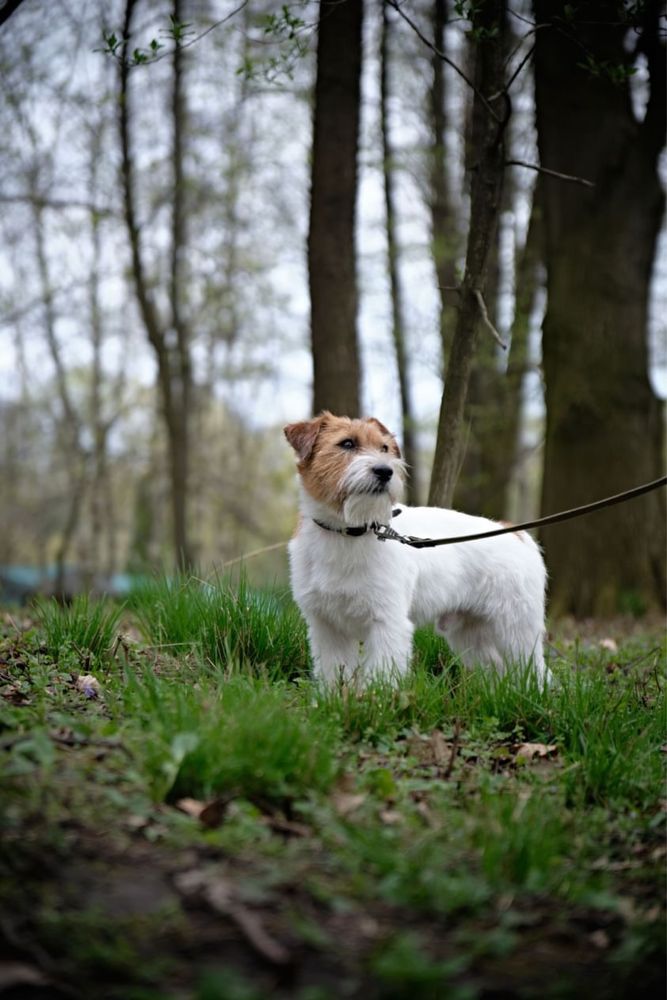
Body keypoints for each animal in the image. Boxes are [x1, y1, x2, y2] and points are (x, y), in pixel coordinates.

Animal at [284, 410, 548, 684]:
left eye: (384, 448)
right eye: (347, 443)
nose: (385, 471)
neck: (348, 532)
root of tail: (515, 532)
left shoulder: (387, 623)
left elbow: (381, 677)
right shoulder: (327, 628)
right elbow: (333, 675)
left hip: (516, 629)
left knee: (537, 671)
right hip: (471, 632)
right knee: (496, 669)